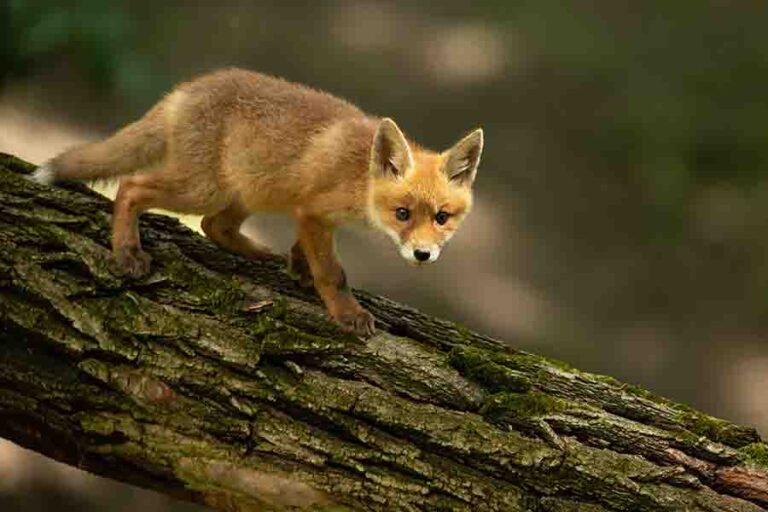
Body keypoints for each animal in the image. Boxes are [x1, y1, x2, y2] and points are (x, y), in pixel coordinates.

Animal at [29, 68, 484, 337]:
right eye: (402, 214)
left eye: (442, 217)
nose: (423, 255)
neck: (359, 176)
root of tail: (188, 88)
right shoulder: (313, 211)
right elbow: (332, 273)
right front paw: (345, 311)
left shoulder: (308, 213)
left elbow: (306, 251)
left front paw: (298, 269)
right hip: (202, 189)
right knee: (130, 188)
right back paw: (127, 252)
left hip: (247, 190)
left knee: (215, 226)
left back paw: (259, 254)